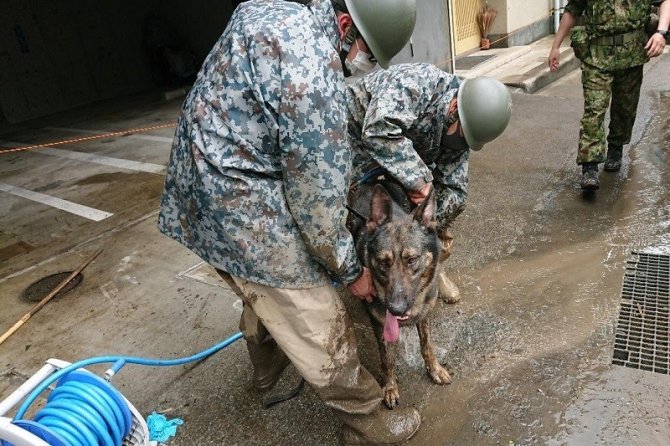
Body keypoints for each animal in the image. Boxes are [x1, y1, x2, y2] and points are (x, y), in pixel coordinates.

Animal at [350, 178, 454, 408]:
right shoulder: (380, 324)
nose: (396, 310)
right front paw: (390, 387)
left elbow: (427, 345)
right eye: (383, 262)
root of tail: (369, 183)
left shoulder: (424, 314)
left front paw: (435, 369)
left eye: (412, 259)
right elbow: (387, 359)